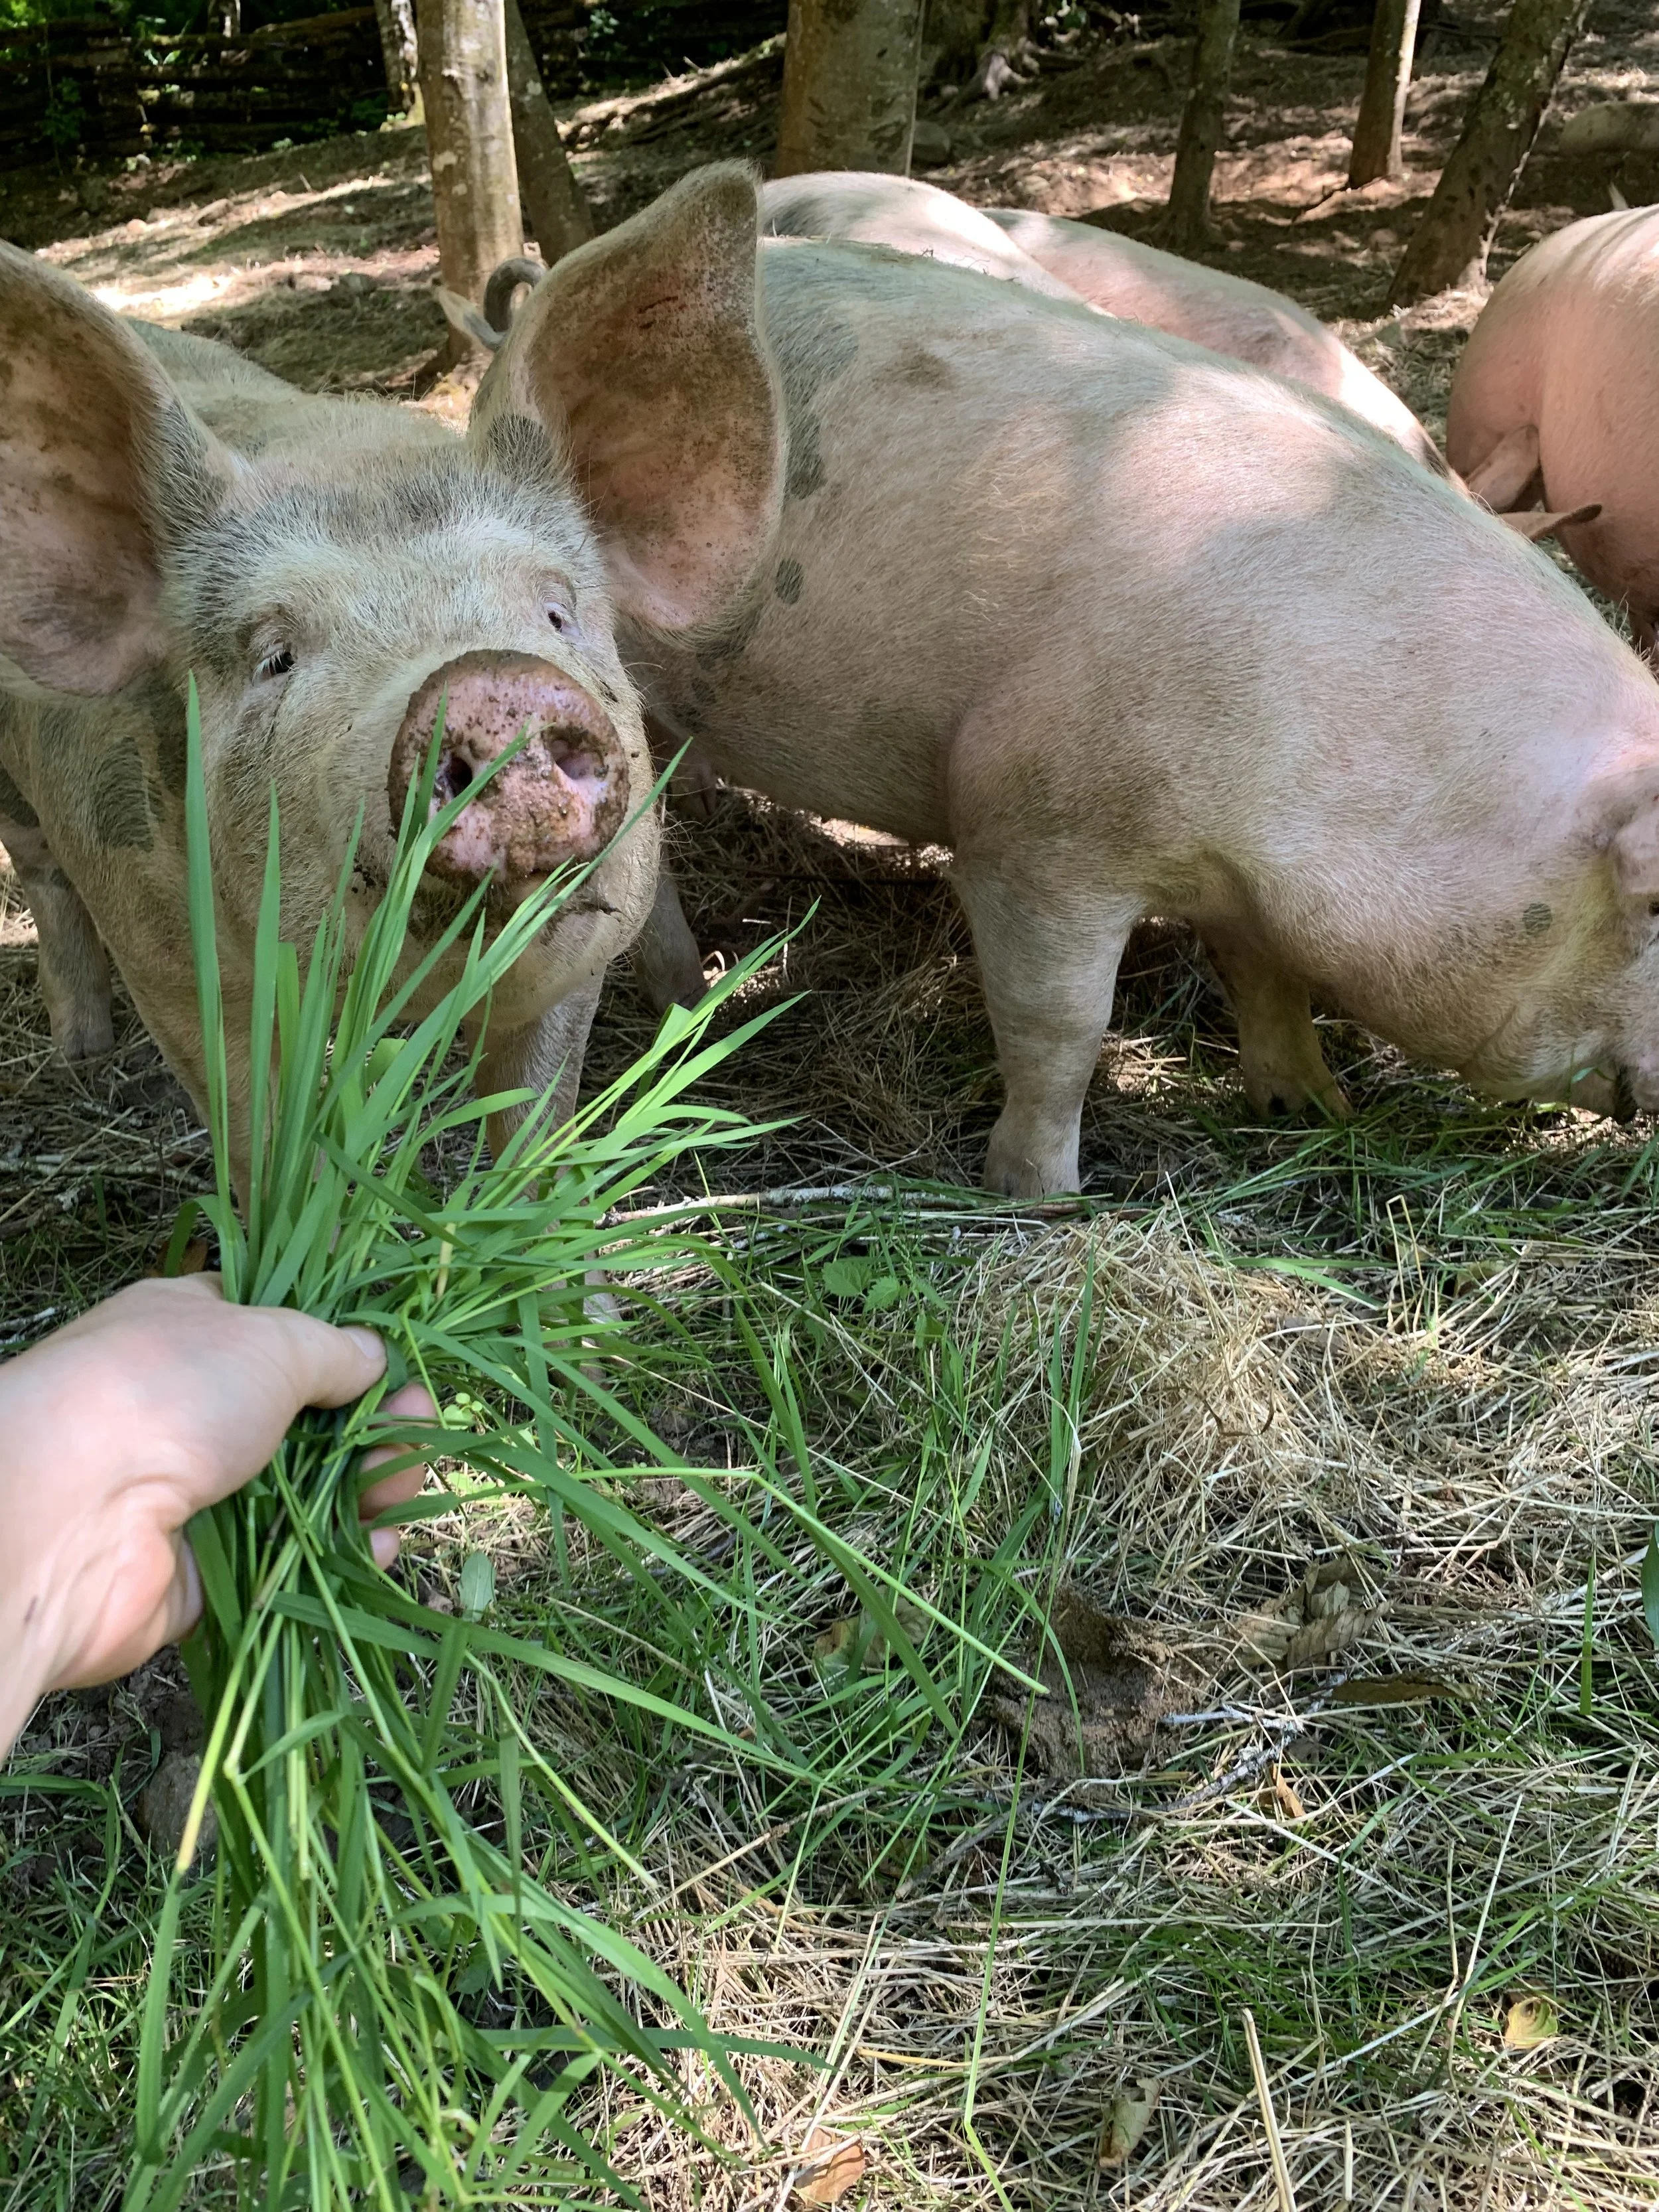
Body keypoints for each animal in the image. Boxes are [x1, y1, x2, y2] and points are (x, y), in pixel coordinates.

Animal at [0, 231, 777, 1162]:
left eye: (556, 611)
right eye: (275, 658)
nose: (493, 684)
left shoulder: (576, 959)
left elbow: (531, 1120)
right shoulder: (163, 957)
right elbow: (255, 1128)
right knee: (40, 872)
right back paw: (82, 1053)